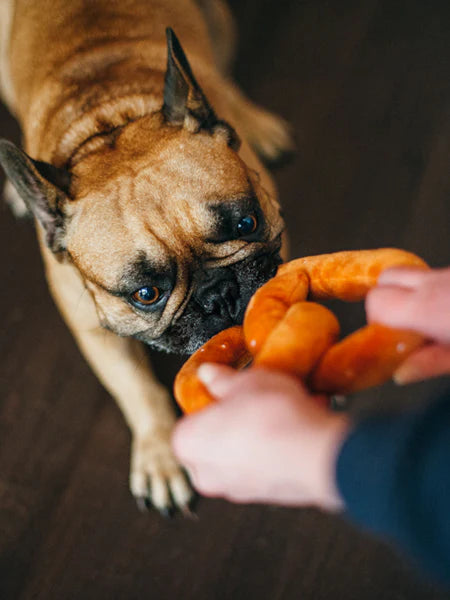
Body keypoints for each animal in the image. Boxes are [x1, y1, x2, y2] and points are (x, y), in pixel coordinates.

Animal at [0, 1, 292, 516]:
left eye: (245, 224)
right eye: (145, 294)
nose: (219, 294)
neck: (106, 124)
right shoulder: (93, 329)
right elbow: (137, 389)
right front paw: (159, 455)